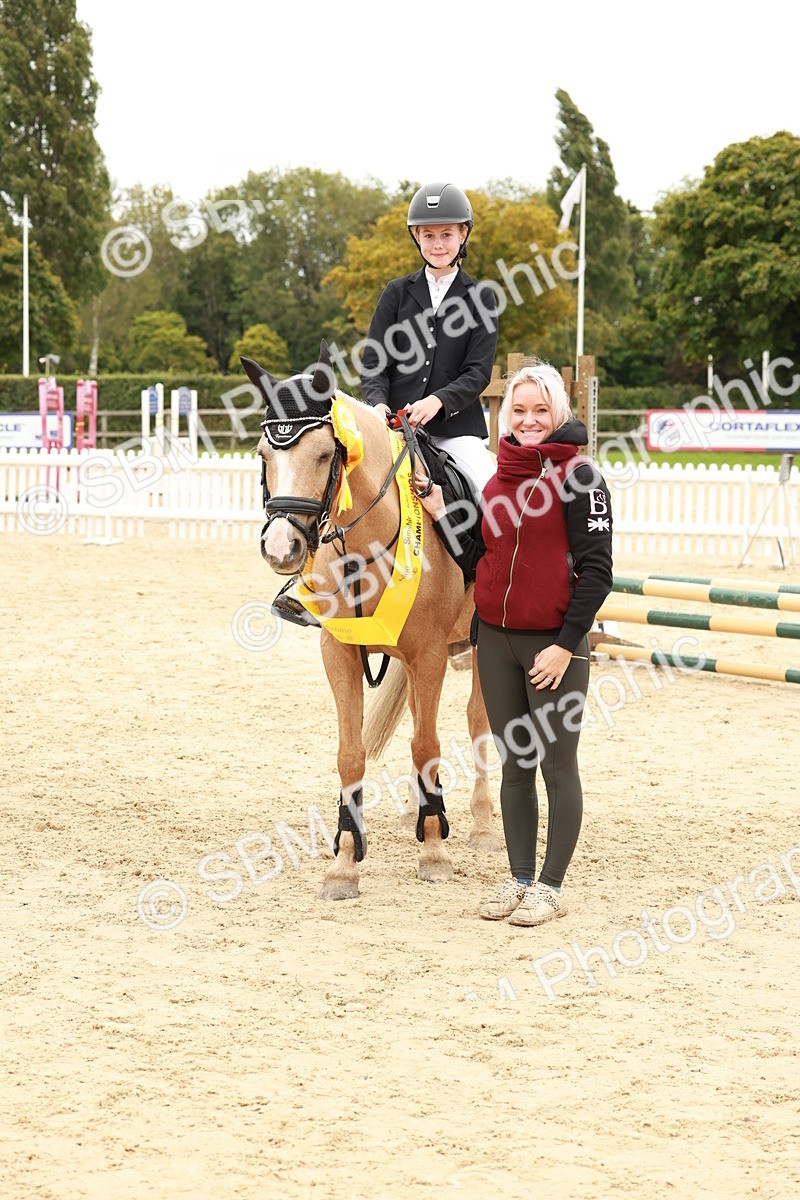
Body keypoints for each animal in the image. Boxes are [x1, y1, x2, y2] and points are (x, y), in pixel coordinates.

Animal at [242, 342, 500, 900]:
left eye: (325, 454)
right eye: (263, 455)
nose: (281, 548)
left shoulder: (429, 653)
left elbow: (427, 746)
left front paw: (435, 853)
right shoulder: (339, 651)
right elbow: (351, 752)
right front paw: (344, 862)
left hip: (477, 645)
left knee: (478, 720)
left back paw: (482, 823)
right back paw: (417, 814)